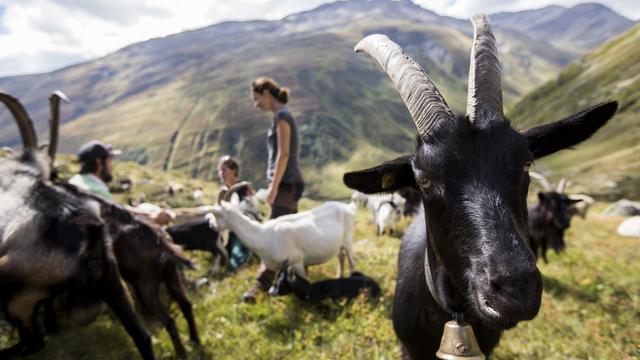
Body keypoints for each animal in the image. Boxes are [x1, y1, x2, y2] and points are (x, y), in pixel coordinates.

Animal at [211, 200, 358, 278]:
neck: (264, 235)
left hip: (348, 240)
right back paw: (339, 276)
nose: (212, 226)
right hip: (338, 245)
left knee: (351, 262)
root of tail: (348, 207)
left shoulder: (297, 261)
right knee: (341, 256)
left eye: (217, 214)